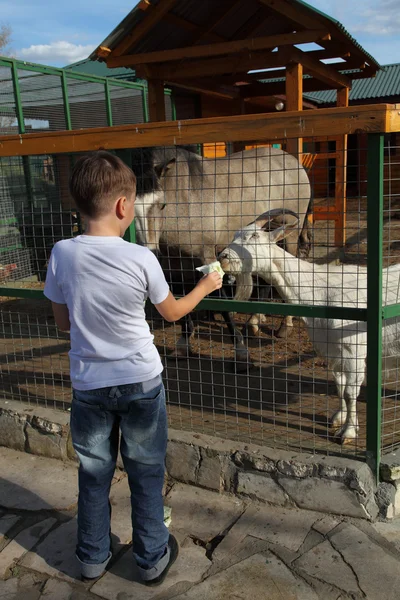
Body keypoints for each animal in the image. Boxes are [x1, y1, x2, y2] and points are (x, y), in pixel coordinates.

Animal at [219, 209, 400, 442]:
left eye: (254, 236)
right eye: (234, 235)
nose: (222, 257)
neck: (320, 290)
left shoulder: (354, 350)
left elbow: (350, 391)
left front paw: (348, 432)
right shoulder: (331, 350)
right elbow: (340, 386)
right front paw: (338, 418)